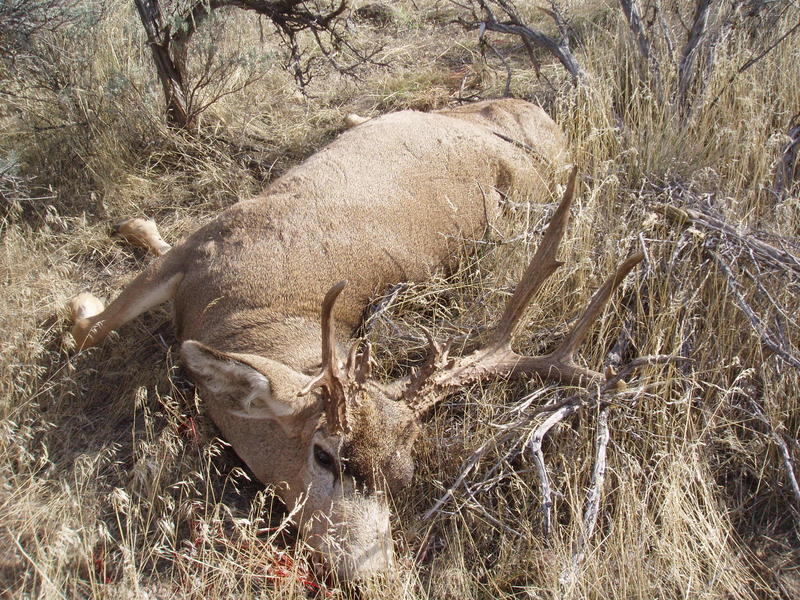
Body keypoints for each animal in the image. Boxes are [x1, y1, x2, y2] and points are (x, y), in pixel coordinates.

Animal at [70, 99, 644, 580]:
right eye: (326, 457)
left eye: (404, 476)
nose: (378, 574)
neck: (244, 311)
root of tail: (546, 124)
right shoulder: (203, 242)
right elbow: (89, 331)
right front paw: (107, 266)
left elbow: (87, 330)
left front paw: (96, 280)